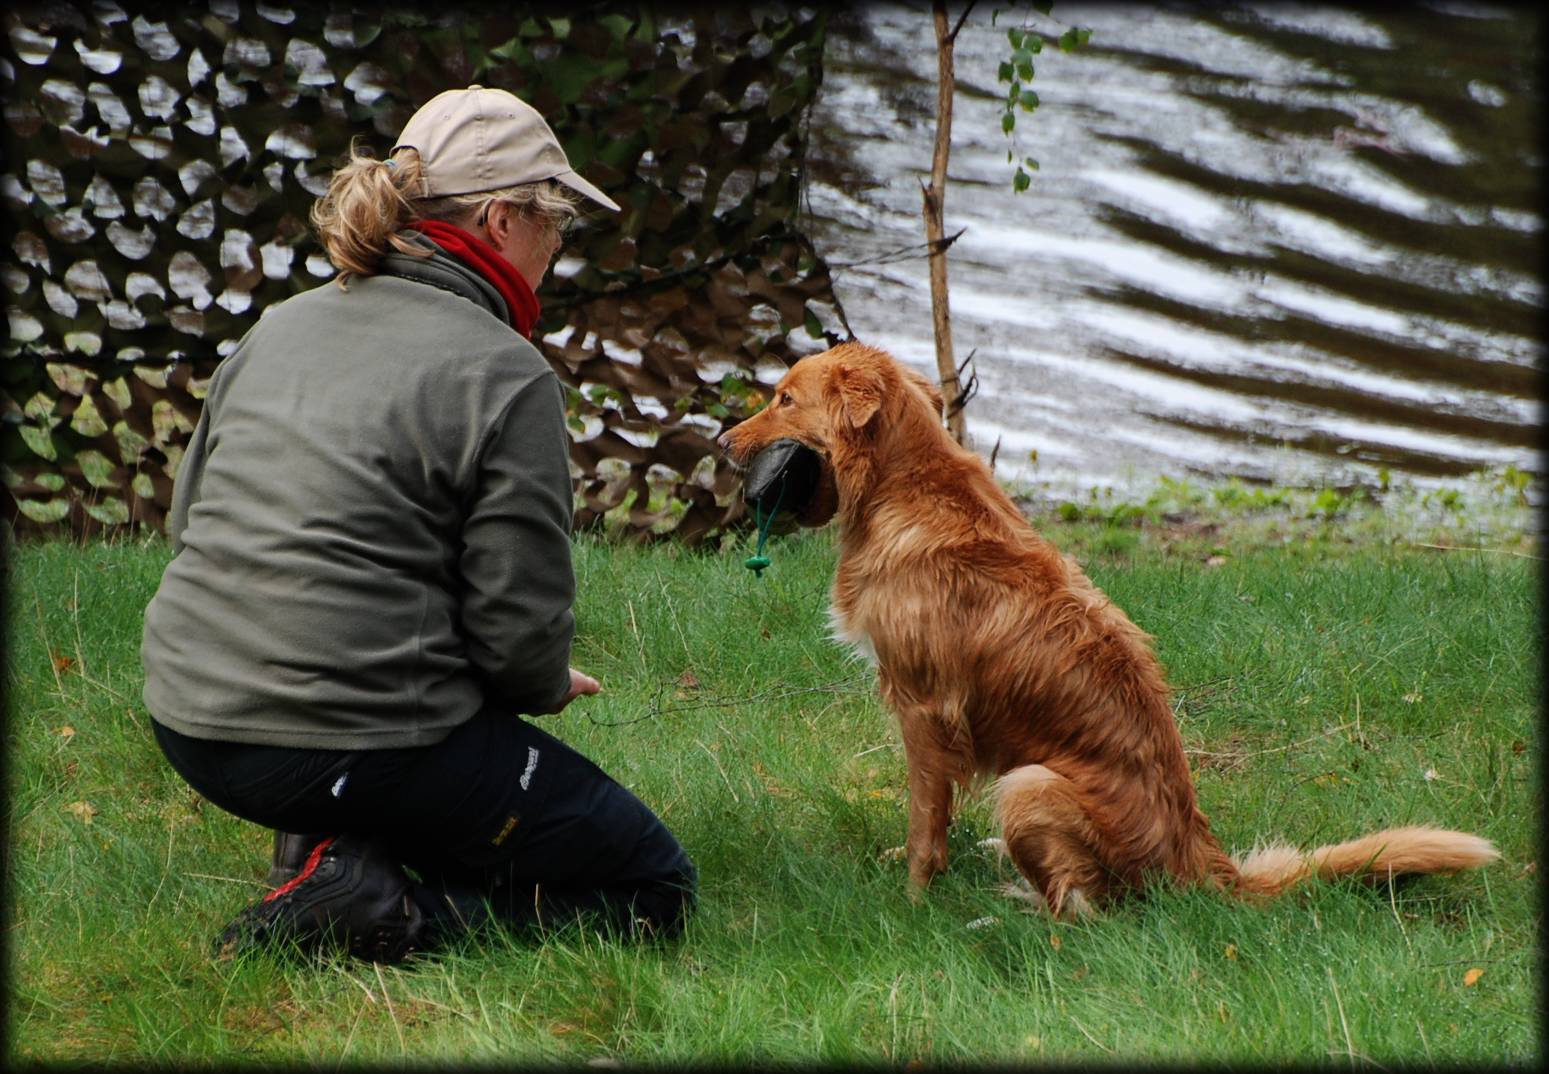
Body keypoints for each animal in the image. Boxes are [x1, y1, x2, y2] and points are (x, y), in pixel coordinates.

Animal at [721, 340, 1499, 911]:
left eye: (784, 398)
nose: (724, 439)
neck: (903, 487)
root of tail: (1200, 859)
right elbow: (926, 814)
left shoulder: (924, 707)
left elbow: (924, 822)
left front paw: (912, 899)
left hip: (1029, 785)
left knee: (1080, 911)